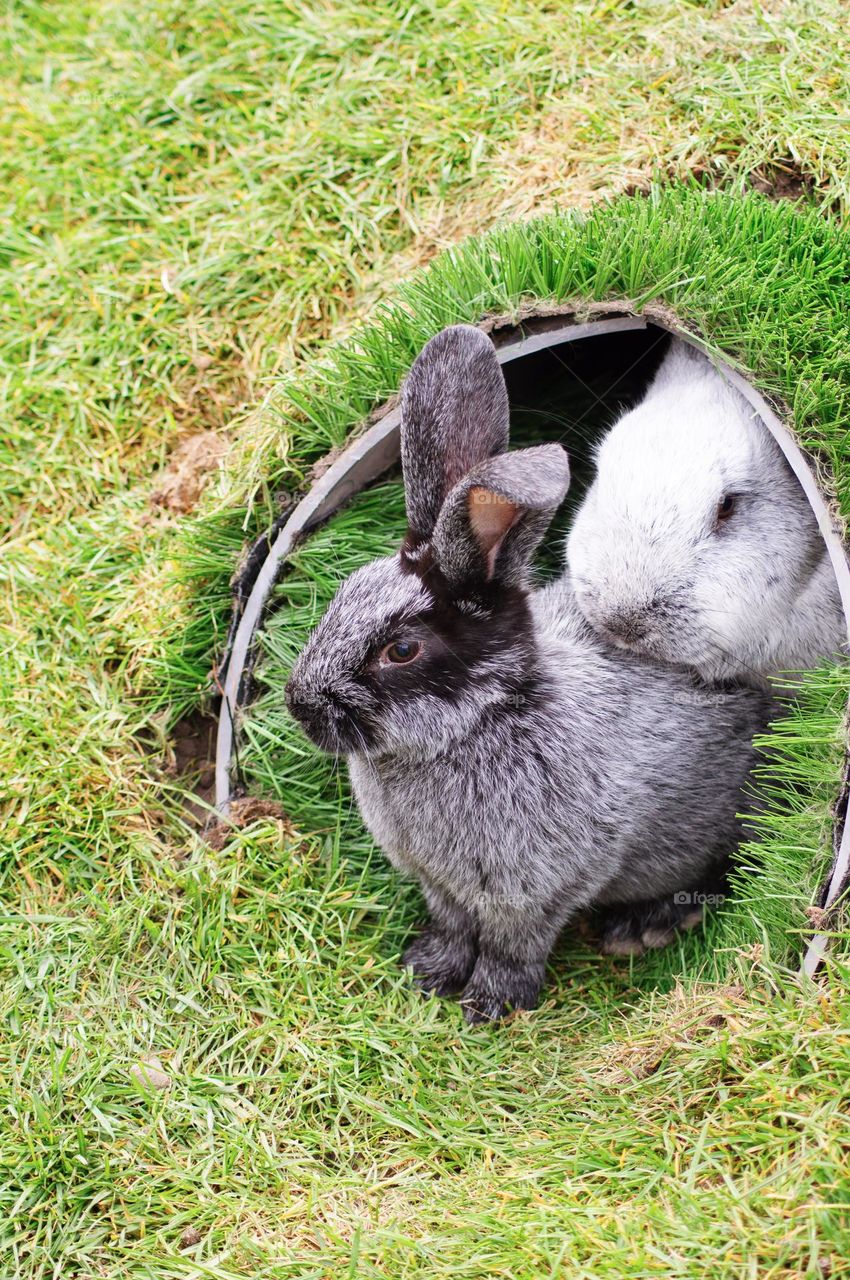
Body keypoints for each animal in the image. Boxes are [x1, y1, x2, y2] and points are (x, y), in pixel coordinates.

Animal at [285, 326, 775, 1023]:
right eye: (345, 593)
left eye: (402, 650)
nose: (301, 706)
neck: (482, 719)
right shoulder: (443, 887)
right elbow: (453, 927)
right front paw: (426, 972)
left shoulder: (537, 890)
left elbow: (511, 945)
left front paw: (489, 1007)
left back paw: (645, 928)